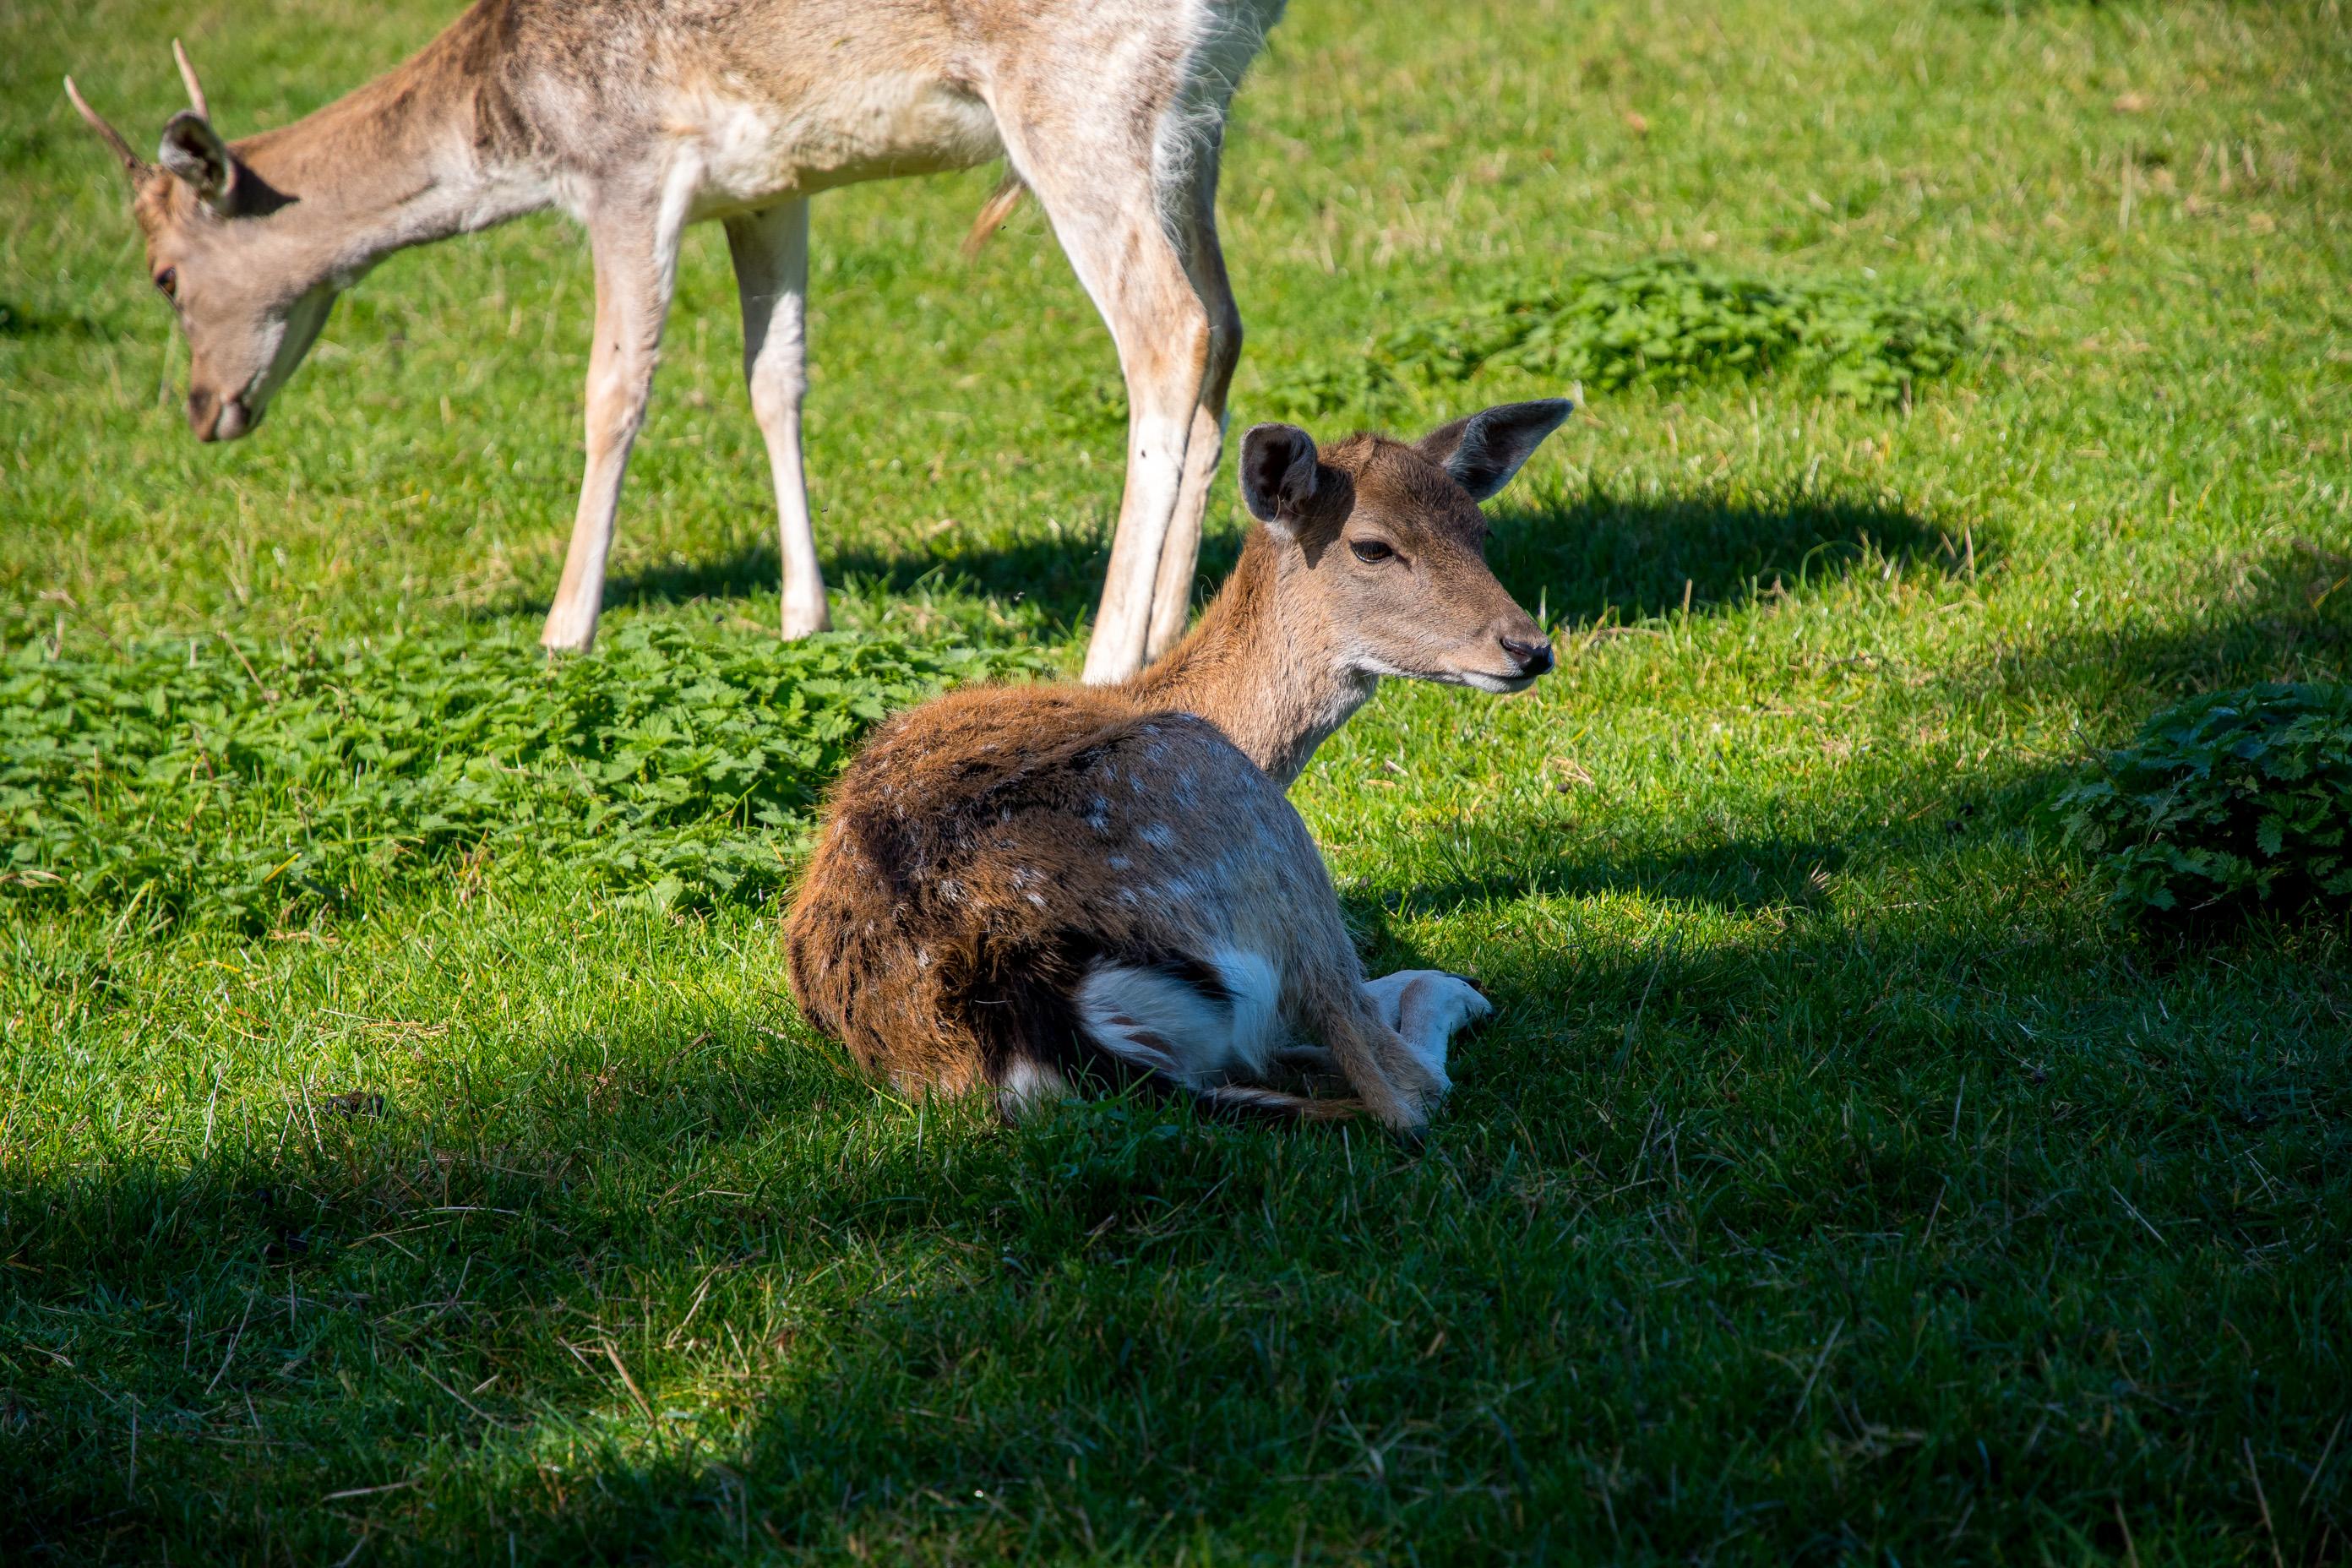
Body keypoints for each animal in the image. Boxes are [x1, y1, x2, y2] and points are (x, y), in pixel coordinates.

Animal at [63, 0, 1284, 682]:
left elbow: (614, 393)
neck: (517, 128)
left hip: (1076, 102)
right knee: (1223, 324)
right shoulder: (773, 189)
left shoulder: (626, 165)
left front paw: (564, 630)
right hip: (1194, 119)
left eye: (163, 275)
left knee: (1166, 327)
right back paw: (1174, 636)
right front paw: (803, 617)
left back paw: (1105, 659)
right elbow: (774, 378)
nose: (204, 410)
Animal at [785, 399, 1572, 1134]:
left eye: (1480, 532)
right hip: (1251, 822)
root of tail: (1032, 1007)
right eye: (1373, 546)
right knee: (1401, 1087)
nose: (1529, 648)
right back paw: (1452, 996)